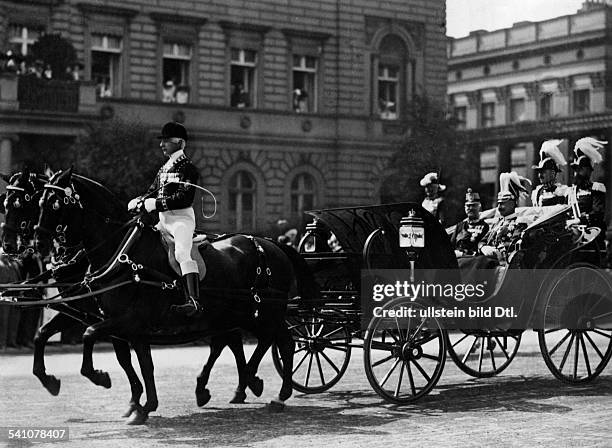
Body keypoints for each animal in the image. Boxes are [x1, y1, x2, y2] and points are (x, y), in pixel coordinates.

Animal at [32, 169, 314, 424]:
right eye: (39, 203)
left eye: (55, 203)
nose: (38, 244)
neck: (125, 255)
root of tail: (271, 244)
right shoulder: (125, 325)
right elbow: (139, 363)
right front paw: (141, 406)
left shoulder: (127, 321)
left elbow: (91, 336)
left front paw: (102, 378)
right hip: (246, 314)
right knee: (258, 341)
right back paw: (245, 383)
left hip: (265, 312)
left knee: (284, 343)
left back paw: (276, 393)